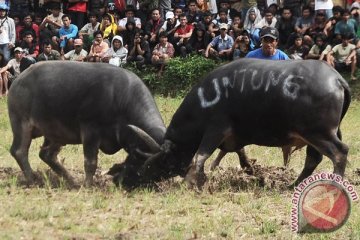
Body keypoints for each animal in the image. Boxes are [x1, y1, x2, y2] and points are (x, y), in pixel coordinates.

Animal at [7, 61, 165, 187]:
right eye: (148, 165)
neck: (120, 100)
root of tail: (17, 81)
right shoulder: (90, 130)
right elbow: (90, 162)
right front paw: (88, 185)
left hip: (55, 132)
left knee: (47, 155)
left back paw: (71, 180)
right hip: (21, 123)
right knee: (19, 151)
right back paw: (32, 180)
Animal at [126, 59, 348, 188]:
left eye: (163, 160)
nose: (143, 178)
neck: (206, 98)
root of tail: (337, 79)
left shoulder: (215, 129)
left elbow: (201, 155)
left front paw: (191, 181)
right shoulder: (234, 135)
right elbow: (238, 152)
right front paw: (251, 170)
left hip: (318, 133)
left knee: (339, 152)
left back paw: (334, 184)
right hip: (318, 134)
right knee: (314, 159)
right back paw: (293, 185)